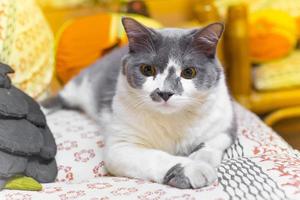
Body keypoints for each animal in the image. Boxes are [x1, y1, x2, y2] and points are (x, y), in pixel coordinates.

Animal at [44, 17, 237, 189]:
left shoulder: (225, 121)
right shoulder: (120, 146)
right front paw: (192, 168)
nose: (165, 92)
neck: (173, 120)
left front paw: (200, 157)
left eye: (189, 72)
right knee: (61, 97)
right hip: (81, 85)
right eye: (147, 69)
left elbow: (214, 142)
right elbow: (155, 156)